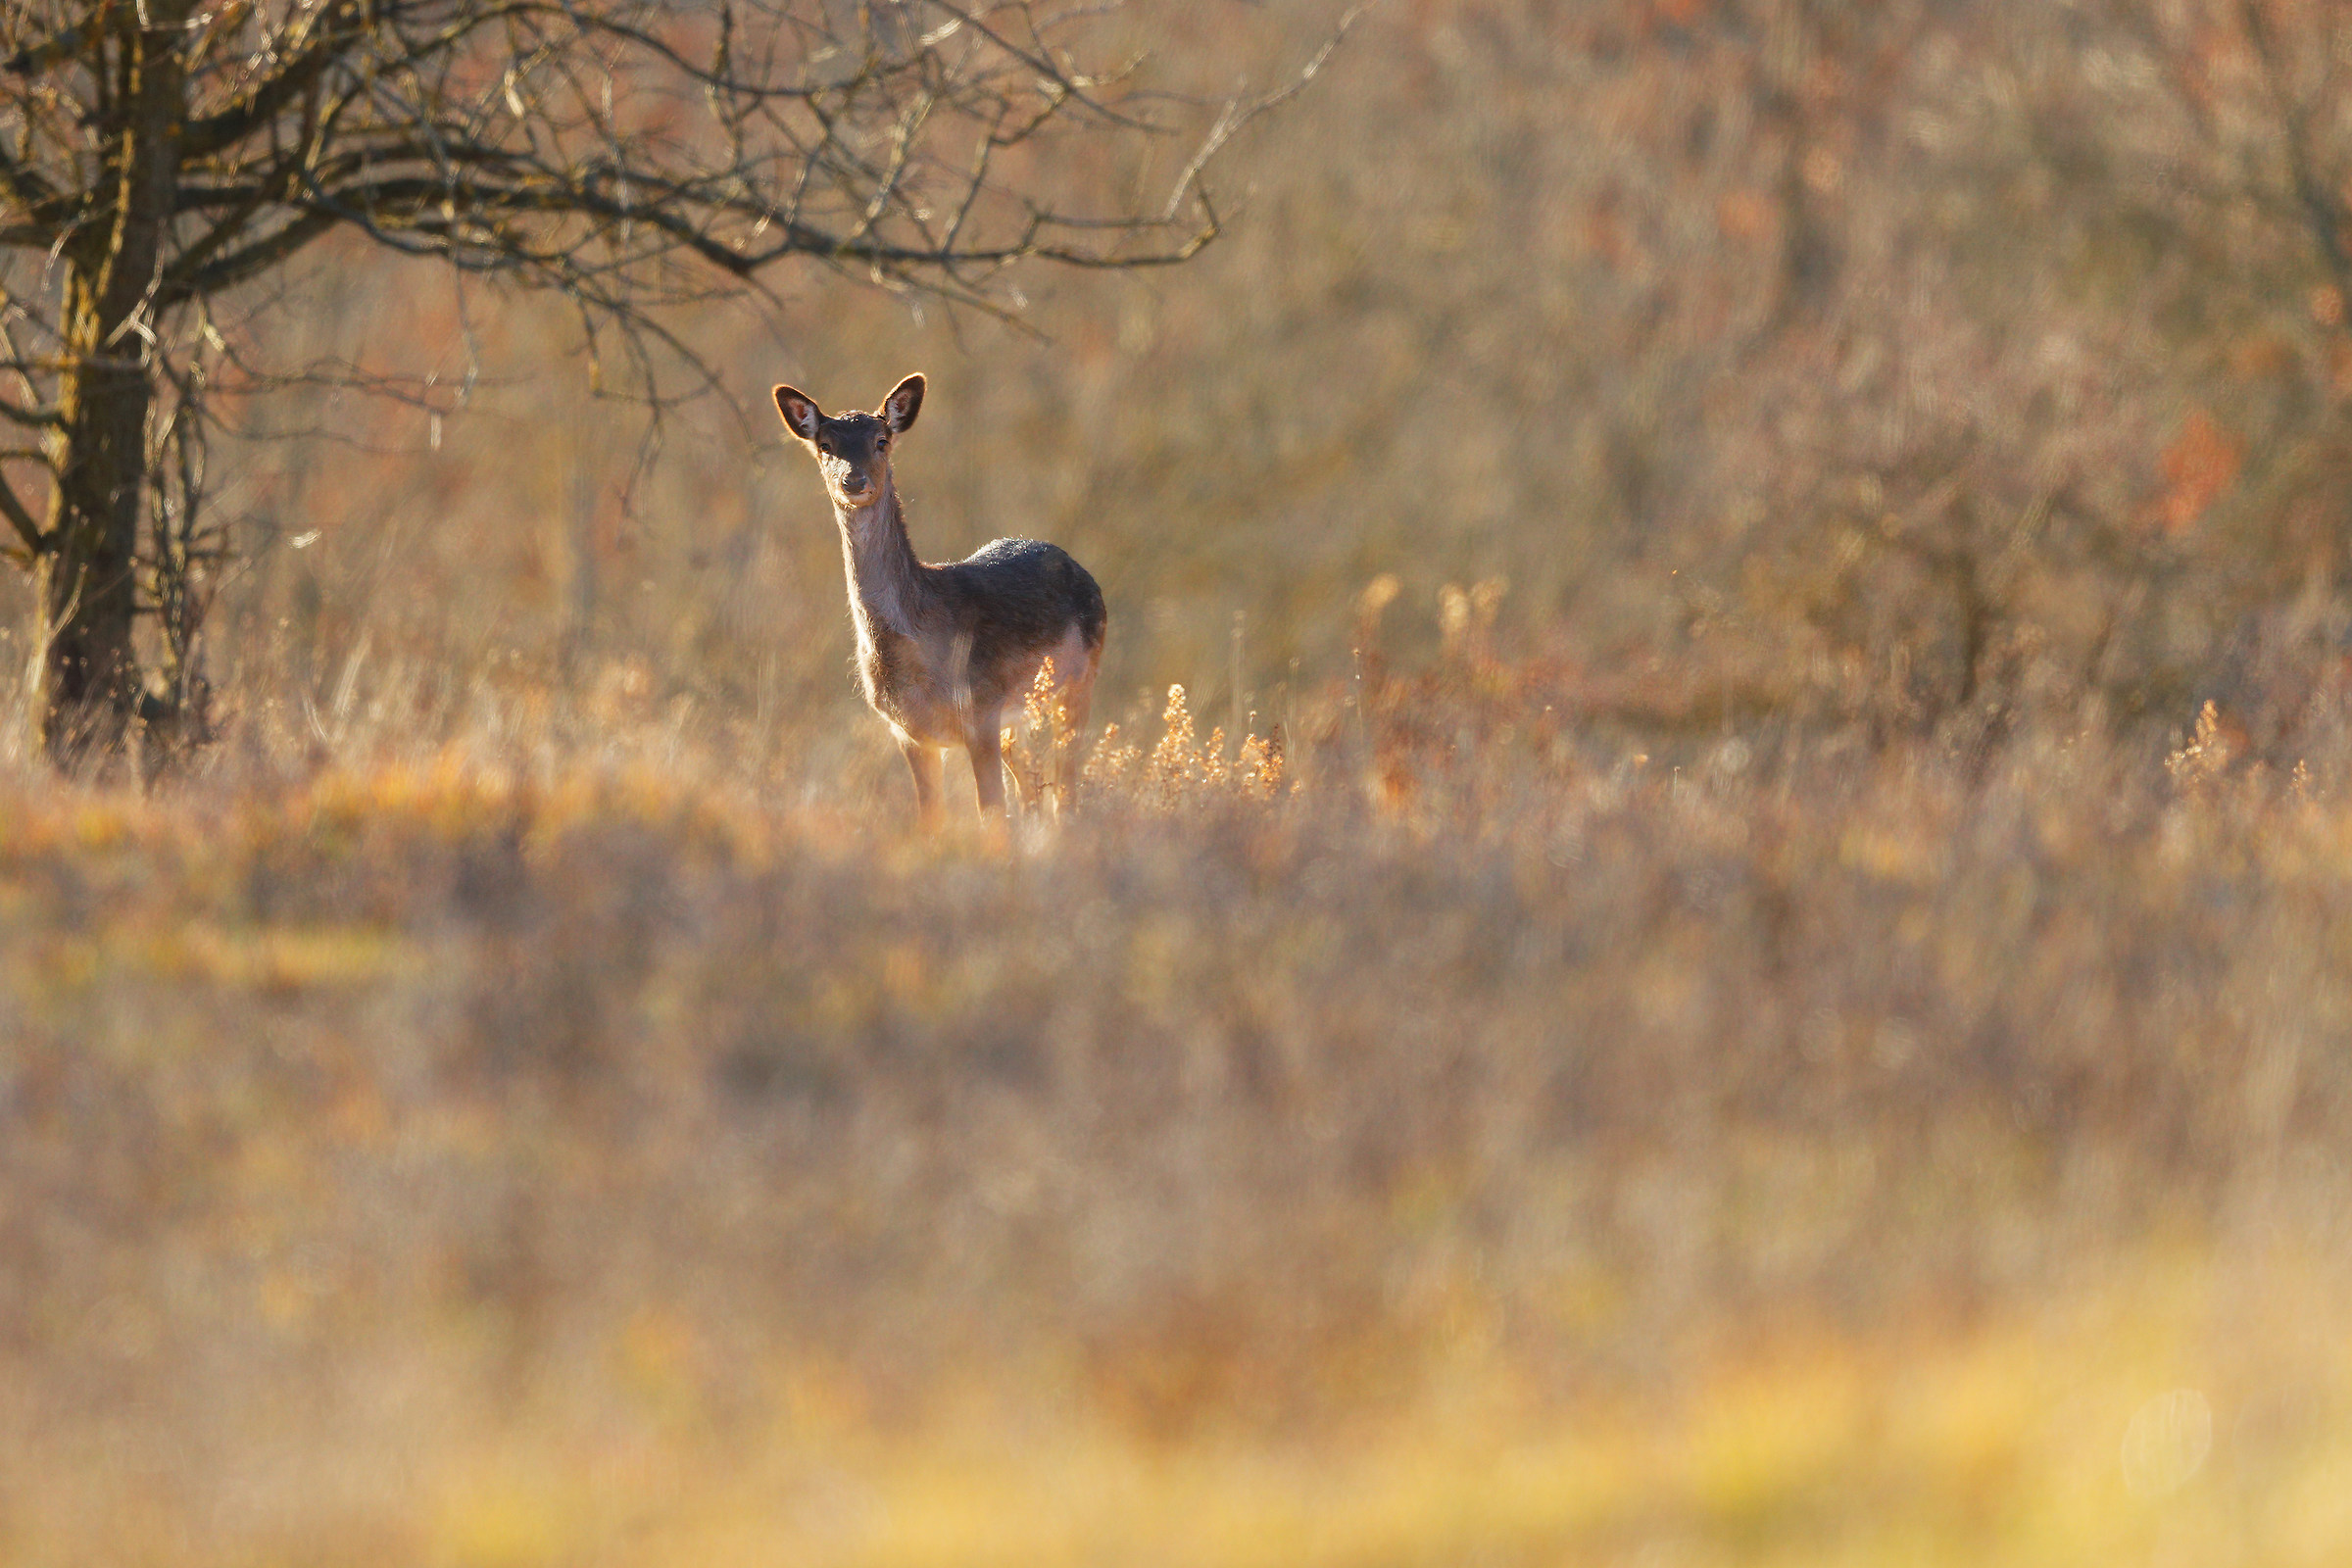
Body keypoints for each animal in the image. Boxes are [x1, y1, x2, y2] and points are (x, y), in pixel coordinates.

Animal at [772, 373, 1106, 826]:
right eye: (825, 444)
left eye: (881, 440)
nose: (854, 481)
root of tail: (1080, 569)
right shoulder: (908, 732)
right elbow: (931, 819)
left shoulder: (980, 711)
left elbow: (992, 815)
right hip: (1019, 718)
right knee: (1032, 783)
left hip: (1079, 681)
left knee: (1066, 788)